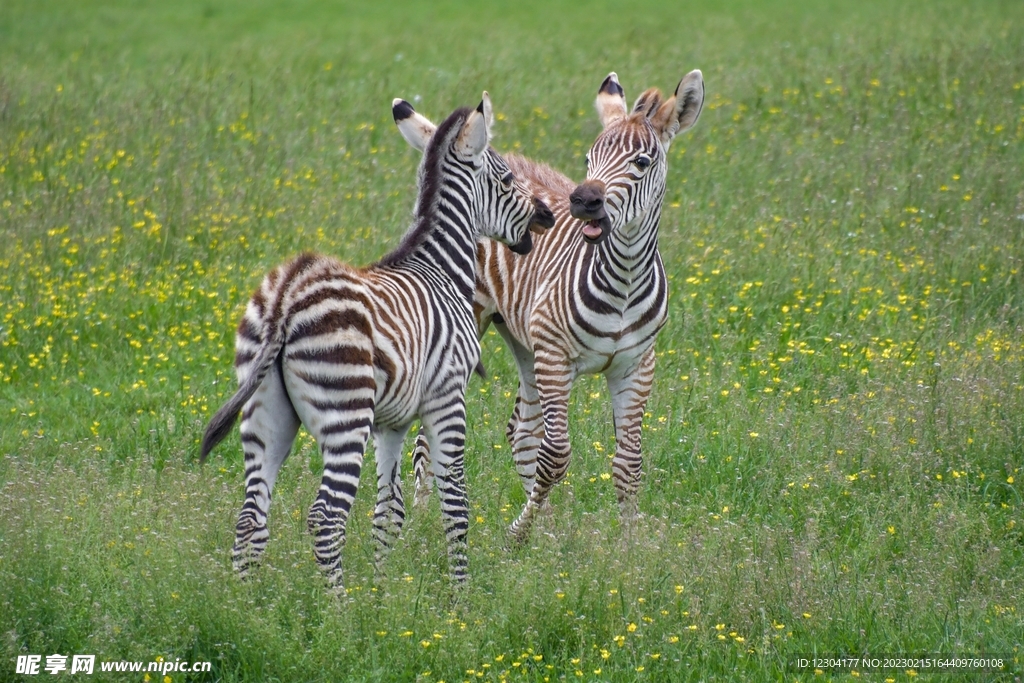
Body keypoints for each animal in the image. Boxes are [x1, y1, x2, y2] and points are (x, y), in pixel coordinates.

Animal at [196, 93, 557, 589]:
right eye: (506, 179)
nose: (548, 216)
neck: (441, 267)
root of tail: (287, 294)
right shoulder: (448, 397)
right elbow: (456, 504)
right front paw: (460, 596)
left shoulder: (393, 422)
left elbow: (389, 511)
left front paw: (383, 592)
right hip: (346, 414)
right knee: (326, 517)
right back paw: (339, 606)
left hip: (267, 415)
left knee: (251, 516)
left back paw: (246, 602)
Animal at [407, 68, 704, 540]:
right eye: (588, 159)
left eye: (641, 163)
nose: (582, 200)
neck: (624, 280)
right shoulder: (555, 355)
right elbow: (557, 454)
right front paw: (517, 534)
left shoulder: (637, 365)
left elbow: (628, 463)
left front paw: (629, 544)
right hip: (475, 324)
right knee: (430, 435)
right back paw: (421, 518)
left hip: (523, 340)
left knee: (521, 430)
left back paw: (545, 529)